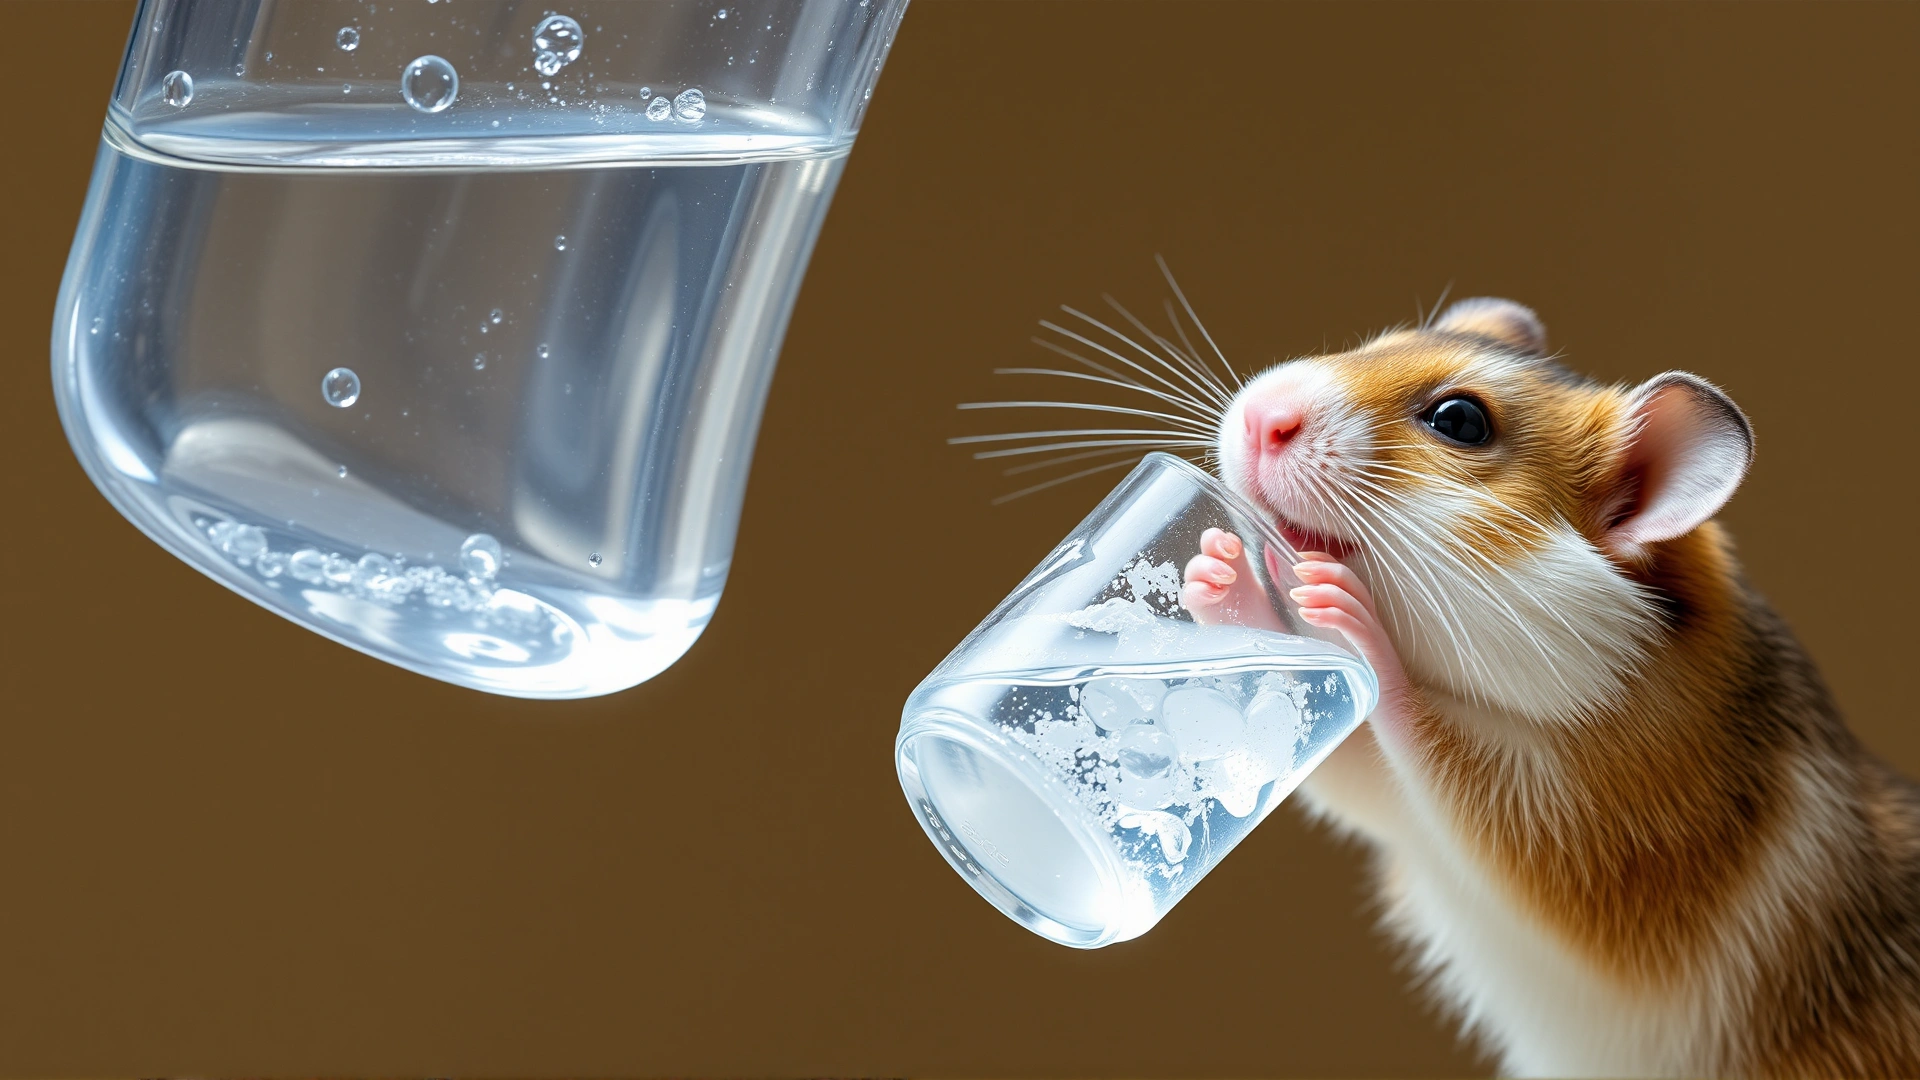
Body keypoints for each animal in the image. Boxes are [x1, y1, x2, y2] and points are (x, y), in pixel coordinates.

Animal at [1179, 299, 1920, 1076]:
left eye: (1460, 421)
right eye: (1379, 340)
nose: (1257, 415)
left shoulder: (1570, 831)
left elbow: (1426, 734)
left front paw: (1350, 617)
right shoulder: (1394, 805)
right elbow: (1349, 753)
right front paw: (1215, 573)